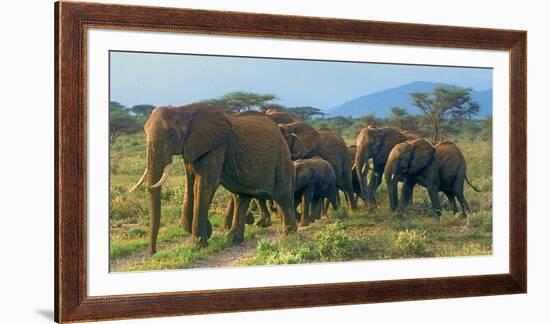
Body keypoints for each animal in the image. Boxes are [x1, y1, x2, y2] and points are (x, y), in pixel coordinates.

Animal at [130, 104, 298, 253]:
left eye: (172, 135)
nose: (153, 252)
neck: (184, 109)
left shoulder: (216, 147)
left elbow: (204, 184)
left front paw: (198, 243)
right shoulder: (191, 148)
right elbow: (190, 183)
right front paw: (205, 231)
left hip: (282, 157)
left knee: (282, 196)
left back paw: (289, 235)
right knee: (241, 197)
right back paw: (232, 239)